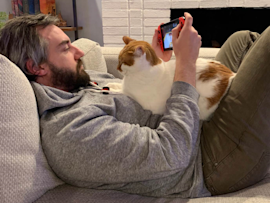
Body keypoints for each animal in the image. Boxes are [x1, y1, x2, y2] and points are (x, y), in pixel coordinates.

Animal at [105, 36, 234, 120]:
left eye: (122, 62)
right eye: (118, 60)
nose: (117, 68)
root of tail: (231, 74)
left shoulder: (138, 100)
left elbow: (120, 91)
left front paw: (109, 89)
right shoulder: (124, 85)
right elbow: (118, 84)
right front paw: (110, 84)